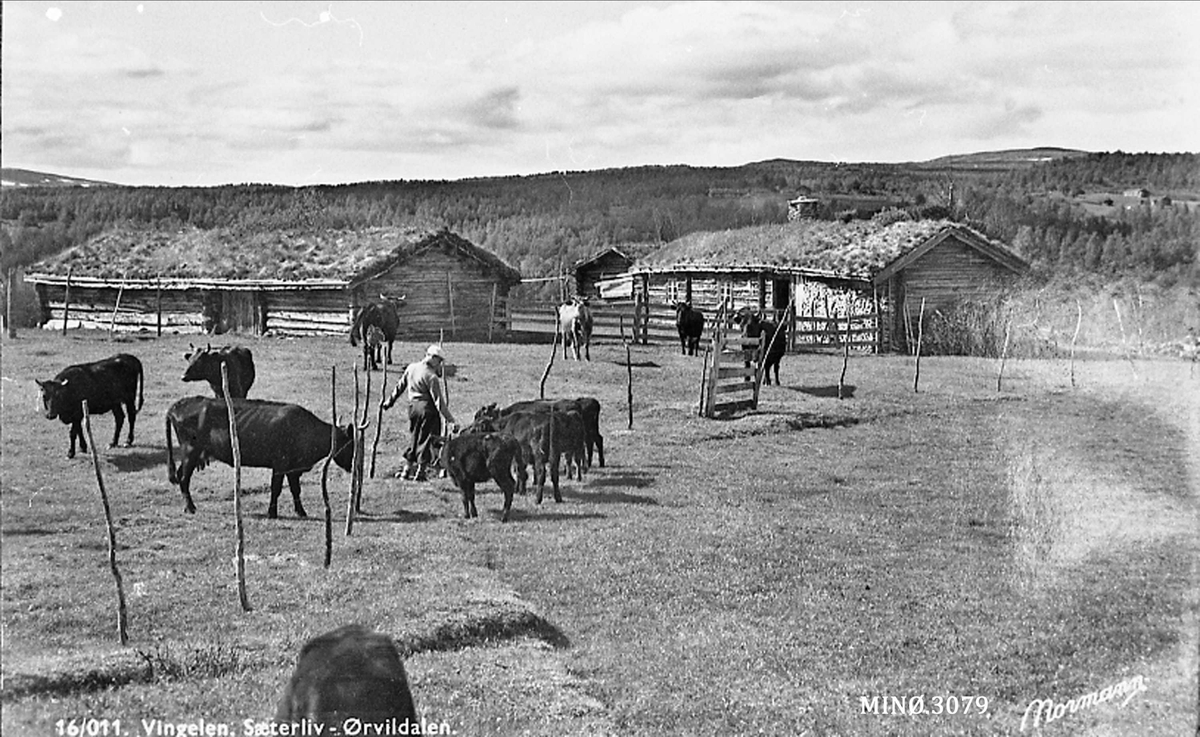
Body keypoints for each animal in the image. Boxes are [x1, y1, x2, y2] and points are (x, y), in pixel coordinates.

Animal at [168, 398, 355, 520]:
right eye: (351, 444)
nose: (353, 466)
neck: (305, 428)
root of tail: (179, 404)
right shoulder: (280, 464)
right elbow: (276, 489)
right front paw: (272, 513)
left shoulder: (293, 468)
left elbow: (295, 490)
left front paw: (301, 511)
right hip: (191, 452)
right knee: (184, 479)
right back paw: (190, 507)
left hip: (190, 455)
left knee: (180, 476)